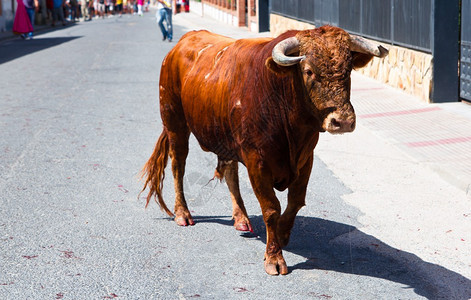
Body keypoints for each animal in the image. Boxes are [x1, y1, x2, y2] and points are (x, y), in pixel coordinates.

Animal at [140, 27, 388, 276]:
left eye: (348, 70)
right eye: (308, 71)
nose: (343, 121)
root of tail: (186, 39)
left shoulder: (305, 159)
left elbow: (295, 201)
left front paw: (282, 234)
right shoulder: (257, 161)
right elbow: (271, 208)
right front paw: (274, 258)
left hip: (224, 137)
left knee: (230, 172)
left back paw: (241, 218)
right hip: (175, 122)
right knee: (178, 166)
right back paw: (182, 213)